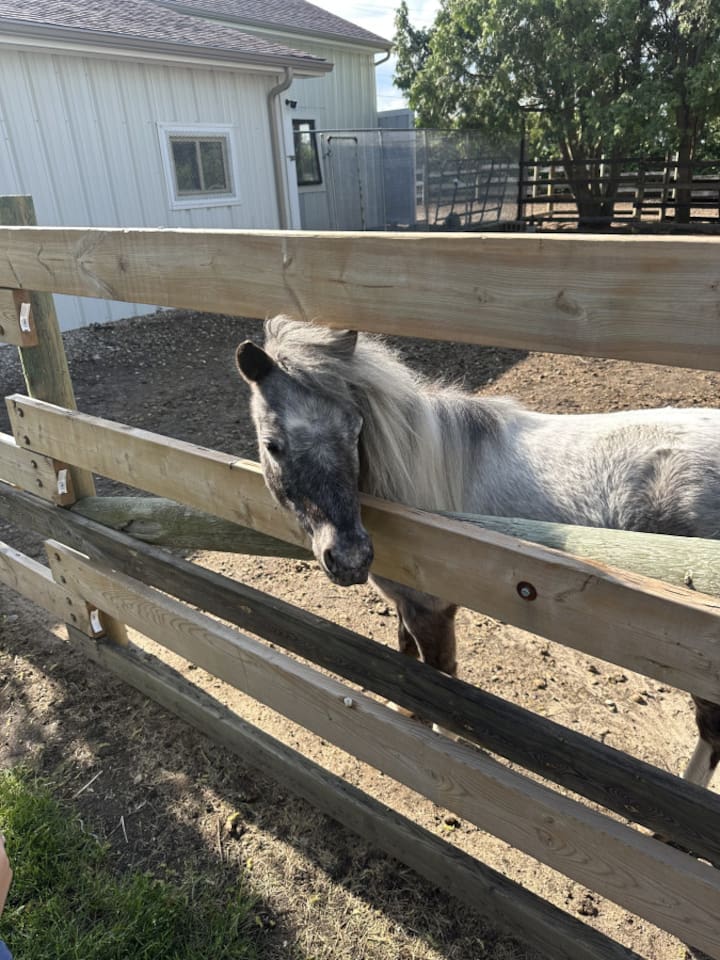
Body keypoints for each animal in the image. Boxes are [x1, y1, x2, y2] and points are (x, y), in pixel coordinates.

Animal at [236, 315, 720, 788]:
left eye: (355, 430)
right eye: (273, 444)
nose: (350, 558)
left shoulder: (431, 608)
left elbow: (440, 674)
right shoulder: (407, 601)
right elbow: (404, 654)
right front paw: (400, 709)